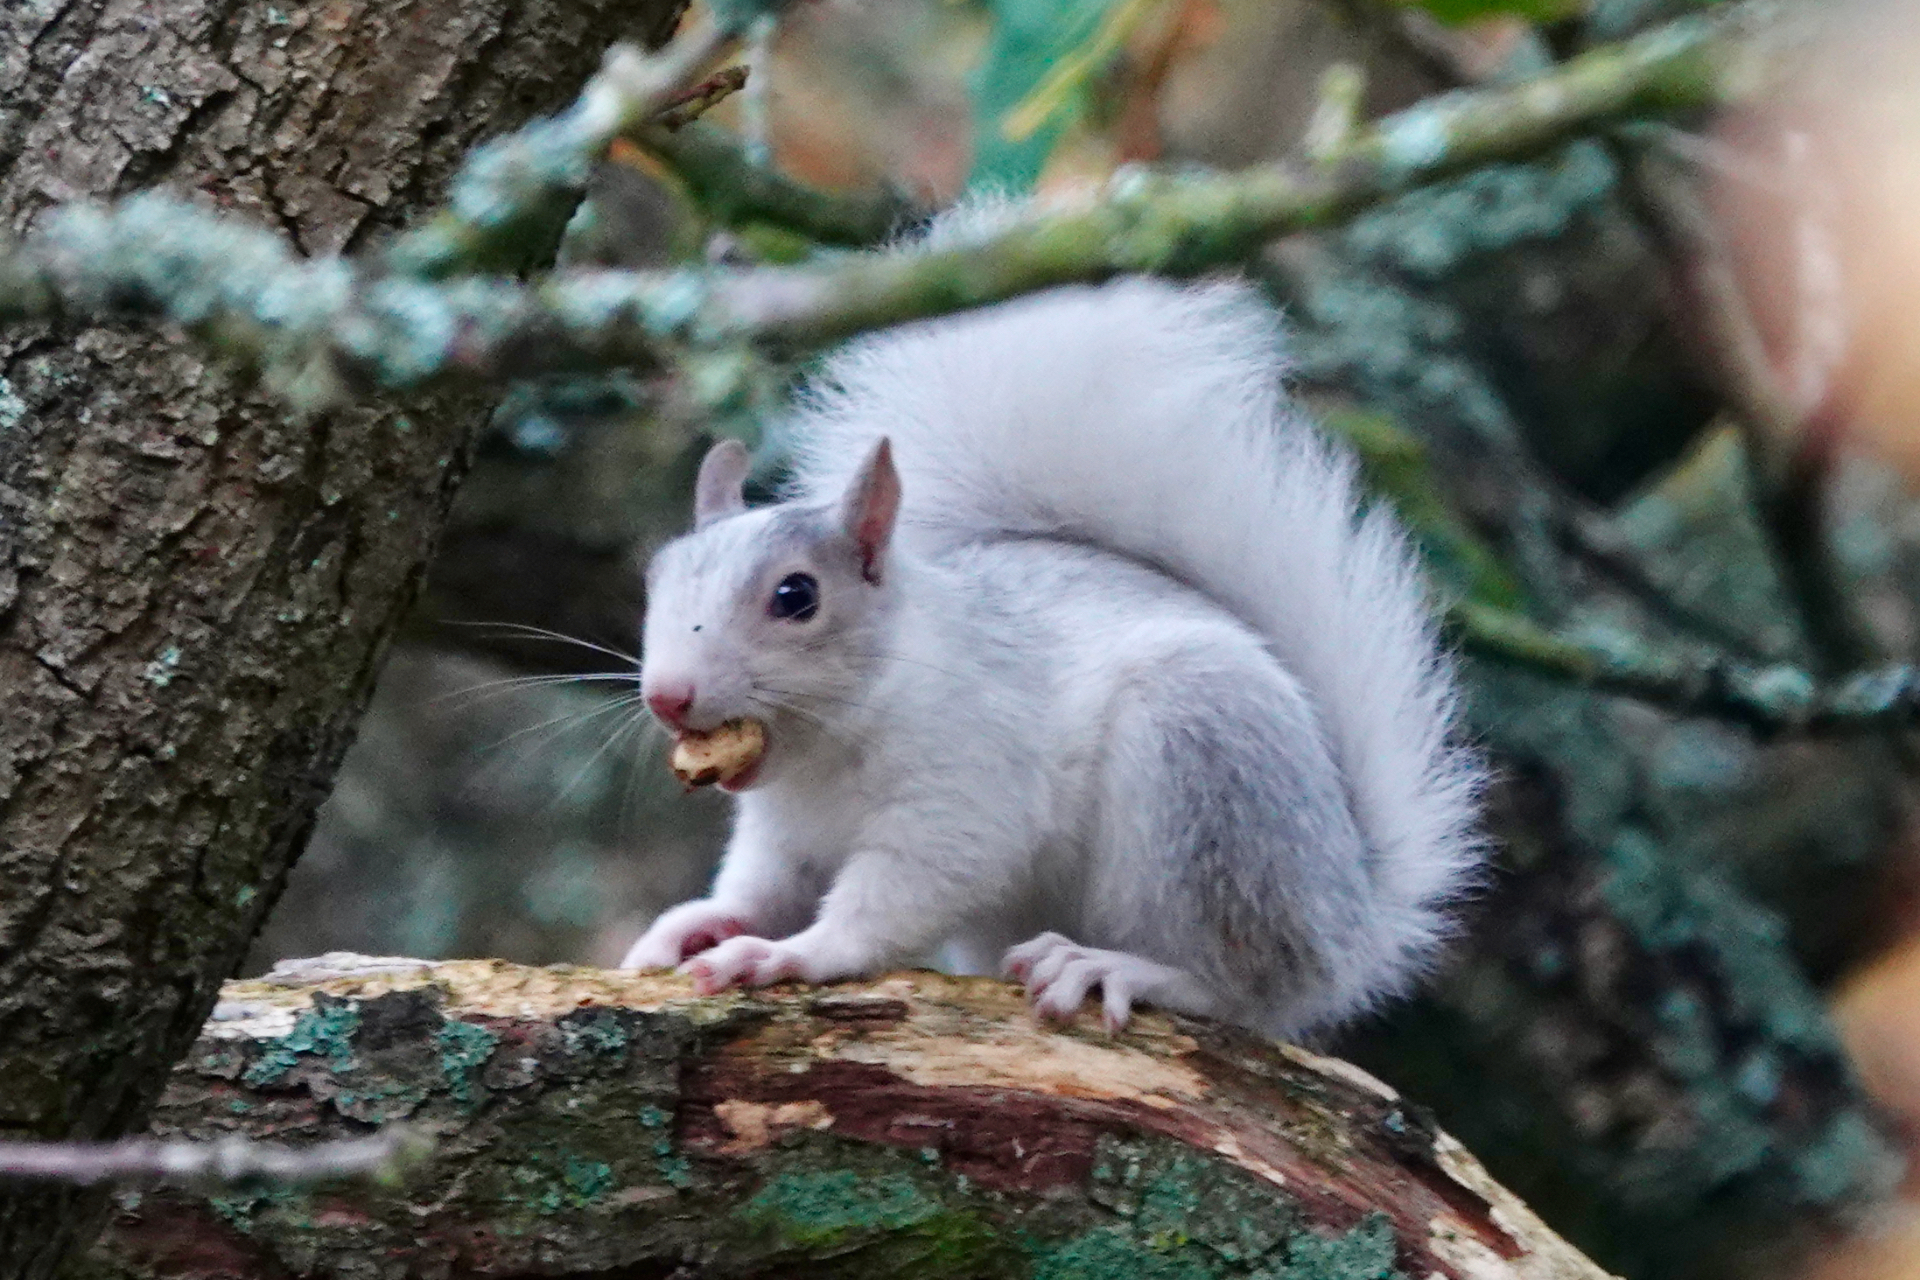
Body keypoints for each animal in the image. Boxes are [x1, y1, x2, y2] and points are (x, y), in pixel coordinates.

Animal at [619, 269, 1486, 1040]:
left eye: (796, 596)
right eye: (656, 577)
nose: (666, 696)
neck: (822, 753)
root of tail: (1351, 923)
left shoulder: (964, 788)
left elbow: (899, 893)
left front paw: (792, 955)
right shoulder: (782, 834)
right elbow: (761, 891)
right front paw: (690, 927)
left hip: (1206, 777)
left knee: (1244, 988)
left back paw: (1119, 968)